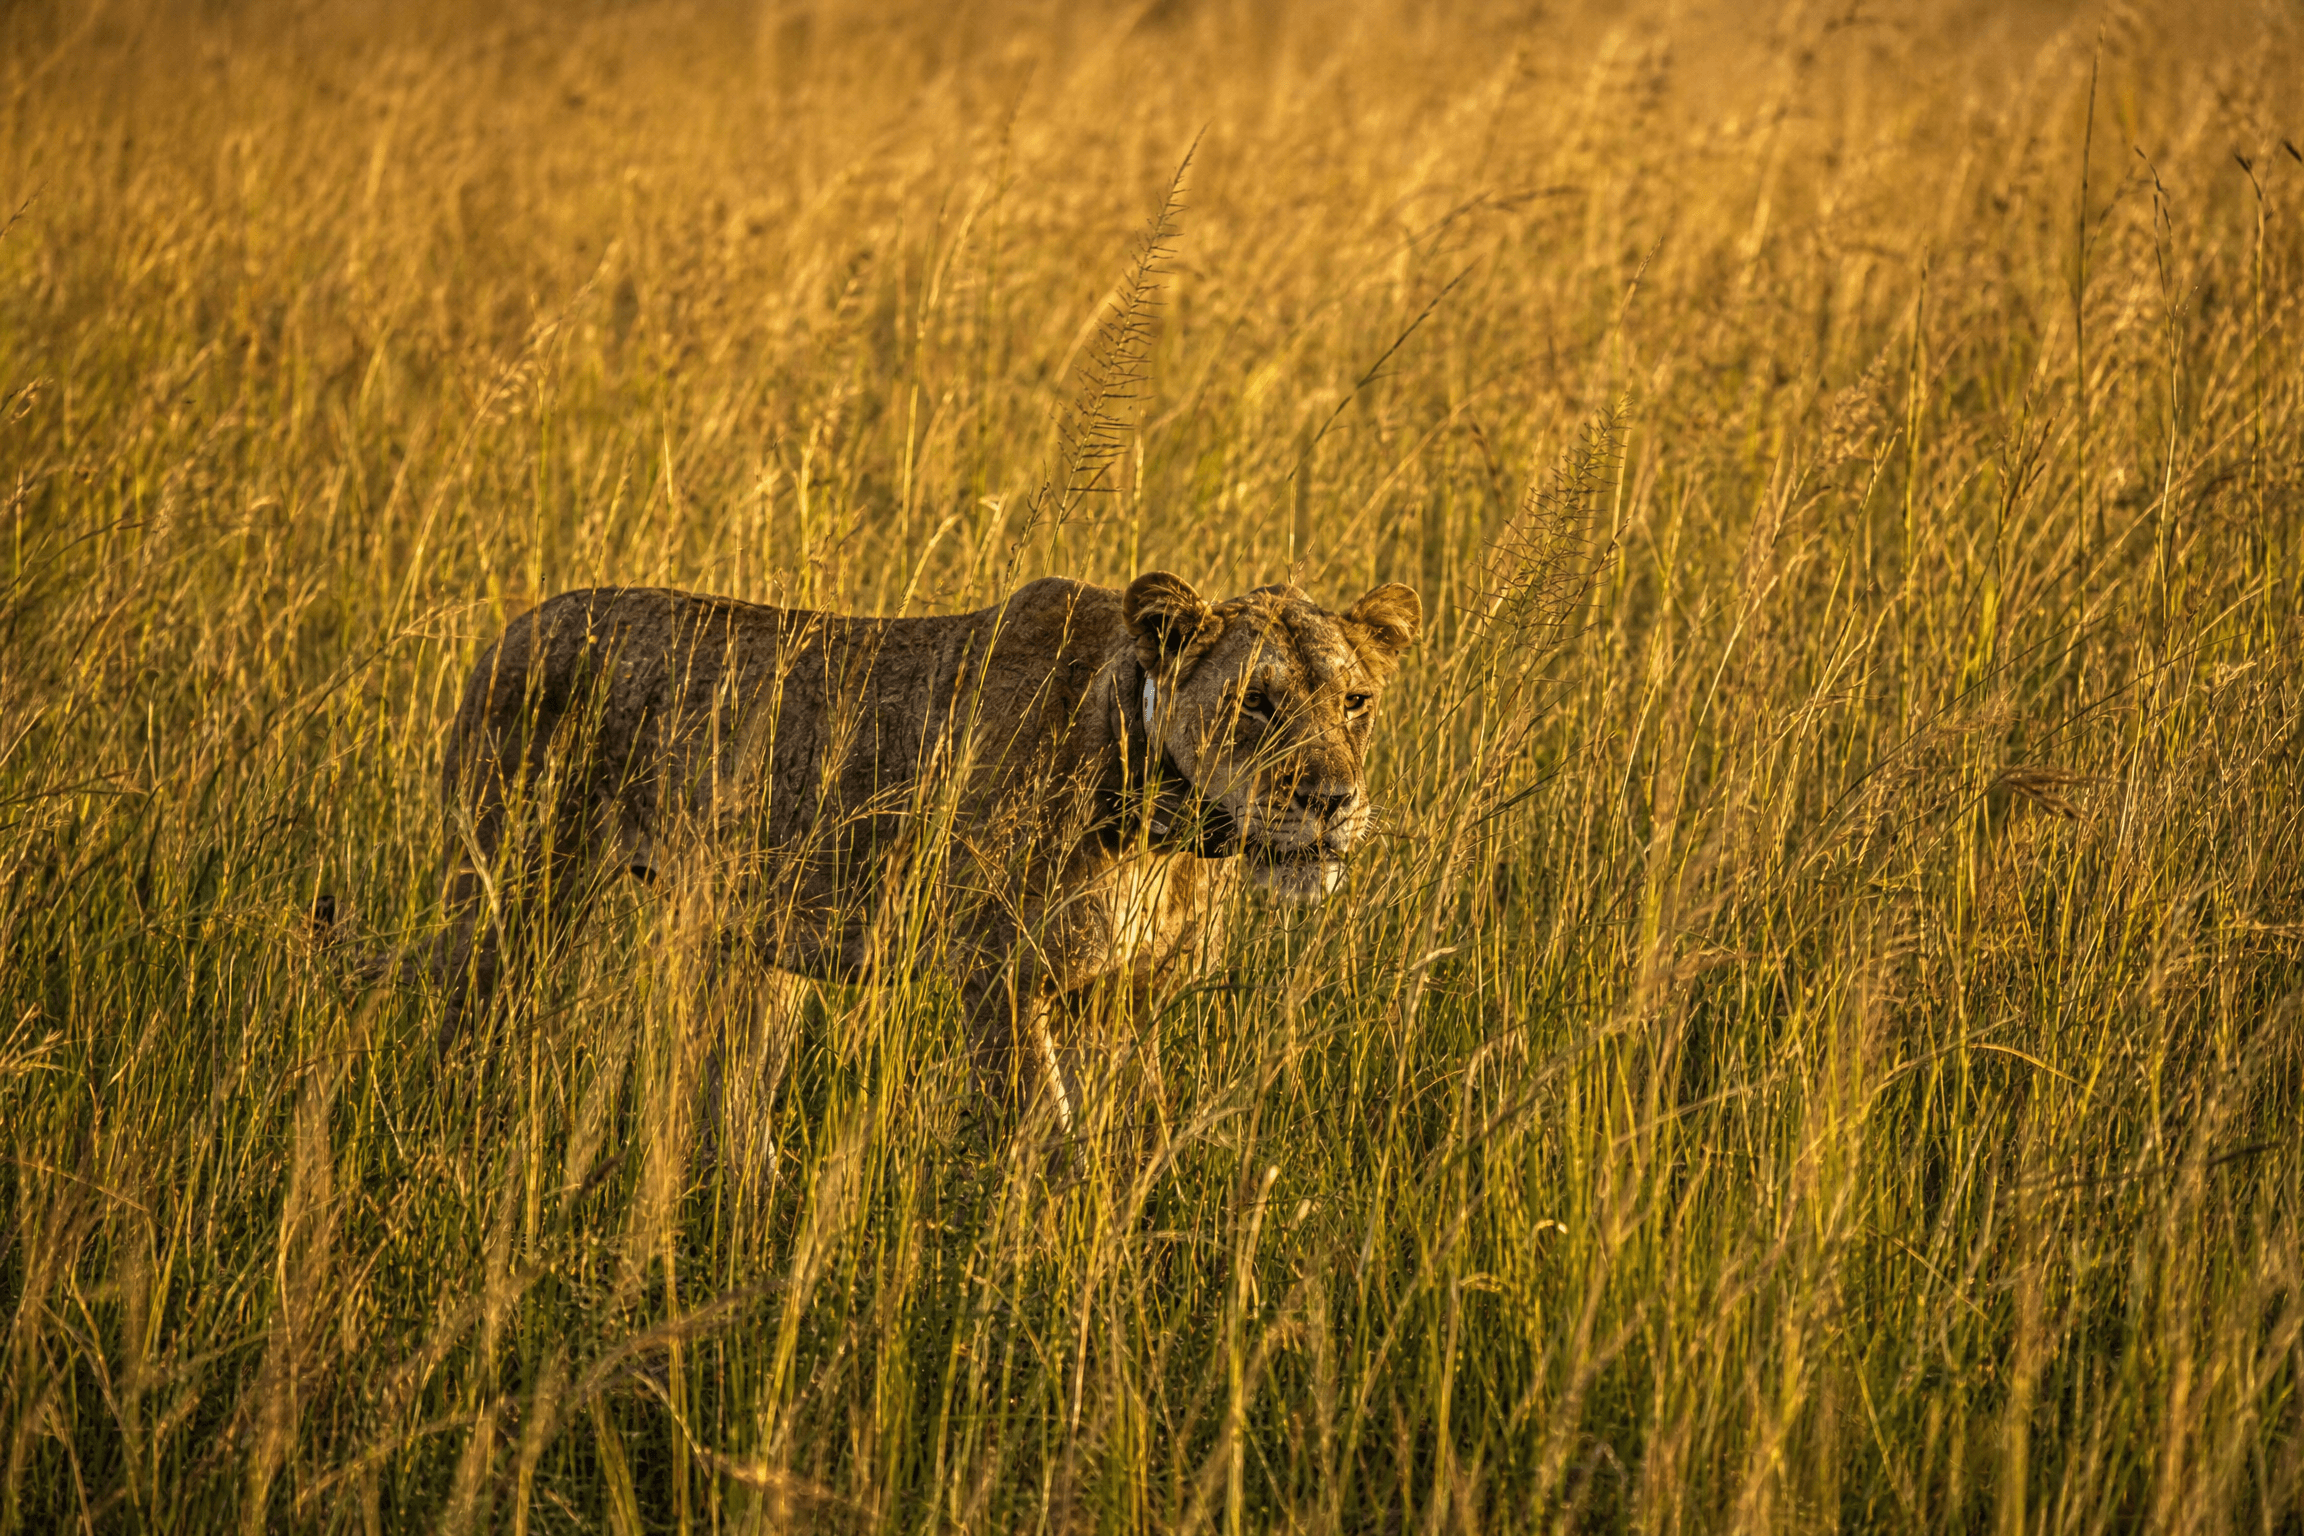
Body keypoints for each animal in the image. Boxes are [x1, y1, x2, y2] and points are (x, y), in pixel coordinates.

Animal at [363, 569, 1420, 1126]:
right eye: (1257, 704)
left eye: (1356, 702)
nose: (1331, 802)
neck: (1163, 834)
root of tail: (510, 628)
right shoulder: (1001, 980)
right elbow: (1044, 1143)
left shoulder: (1127, 1000)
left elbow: (1131, 1141)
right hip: (514, 903)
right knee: (461, 1035)